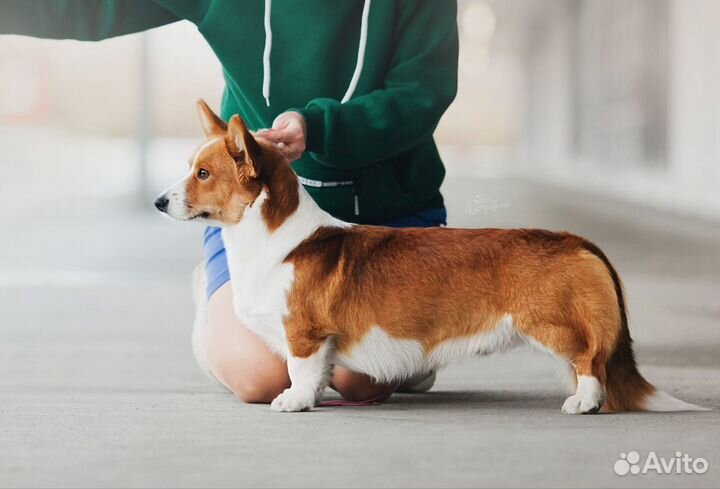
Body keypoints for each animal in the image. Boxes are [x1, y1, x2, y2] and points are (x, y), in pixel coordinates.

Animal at [155, 101, 704, 414]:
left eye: (203, 173)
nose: (159, 202)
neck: (272, 237)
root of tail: (577, 241)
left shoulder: (304, 334)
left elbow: (300, 371)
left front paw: (293, 402)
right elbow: (317, 374)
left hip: (553, 323)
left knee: (590, 360)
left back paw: (581, 403)